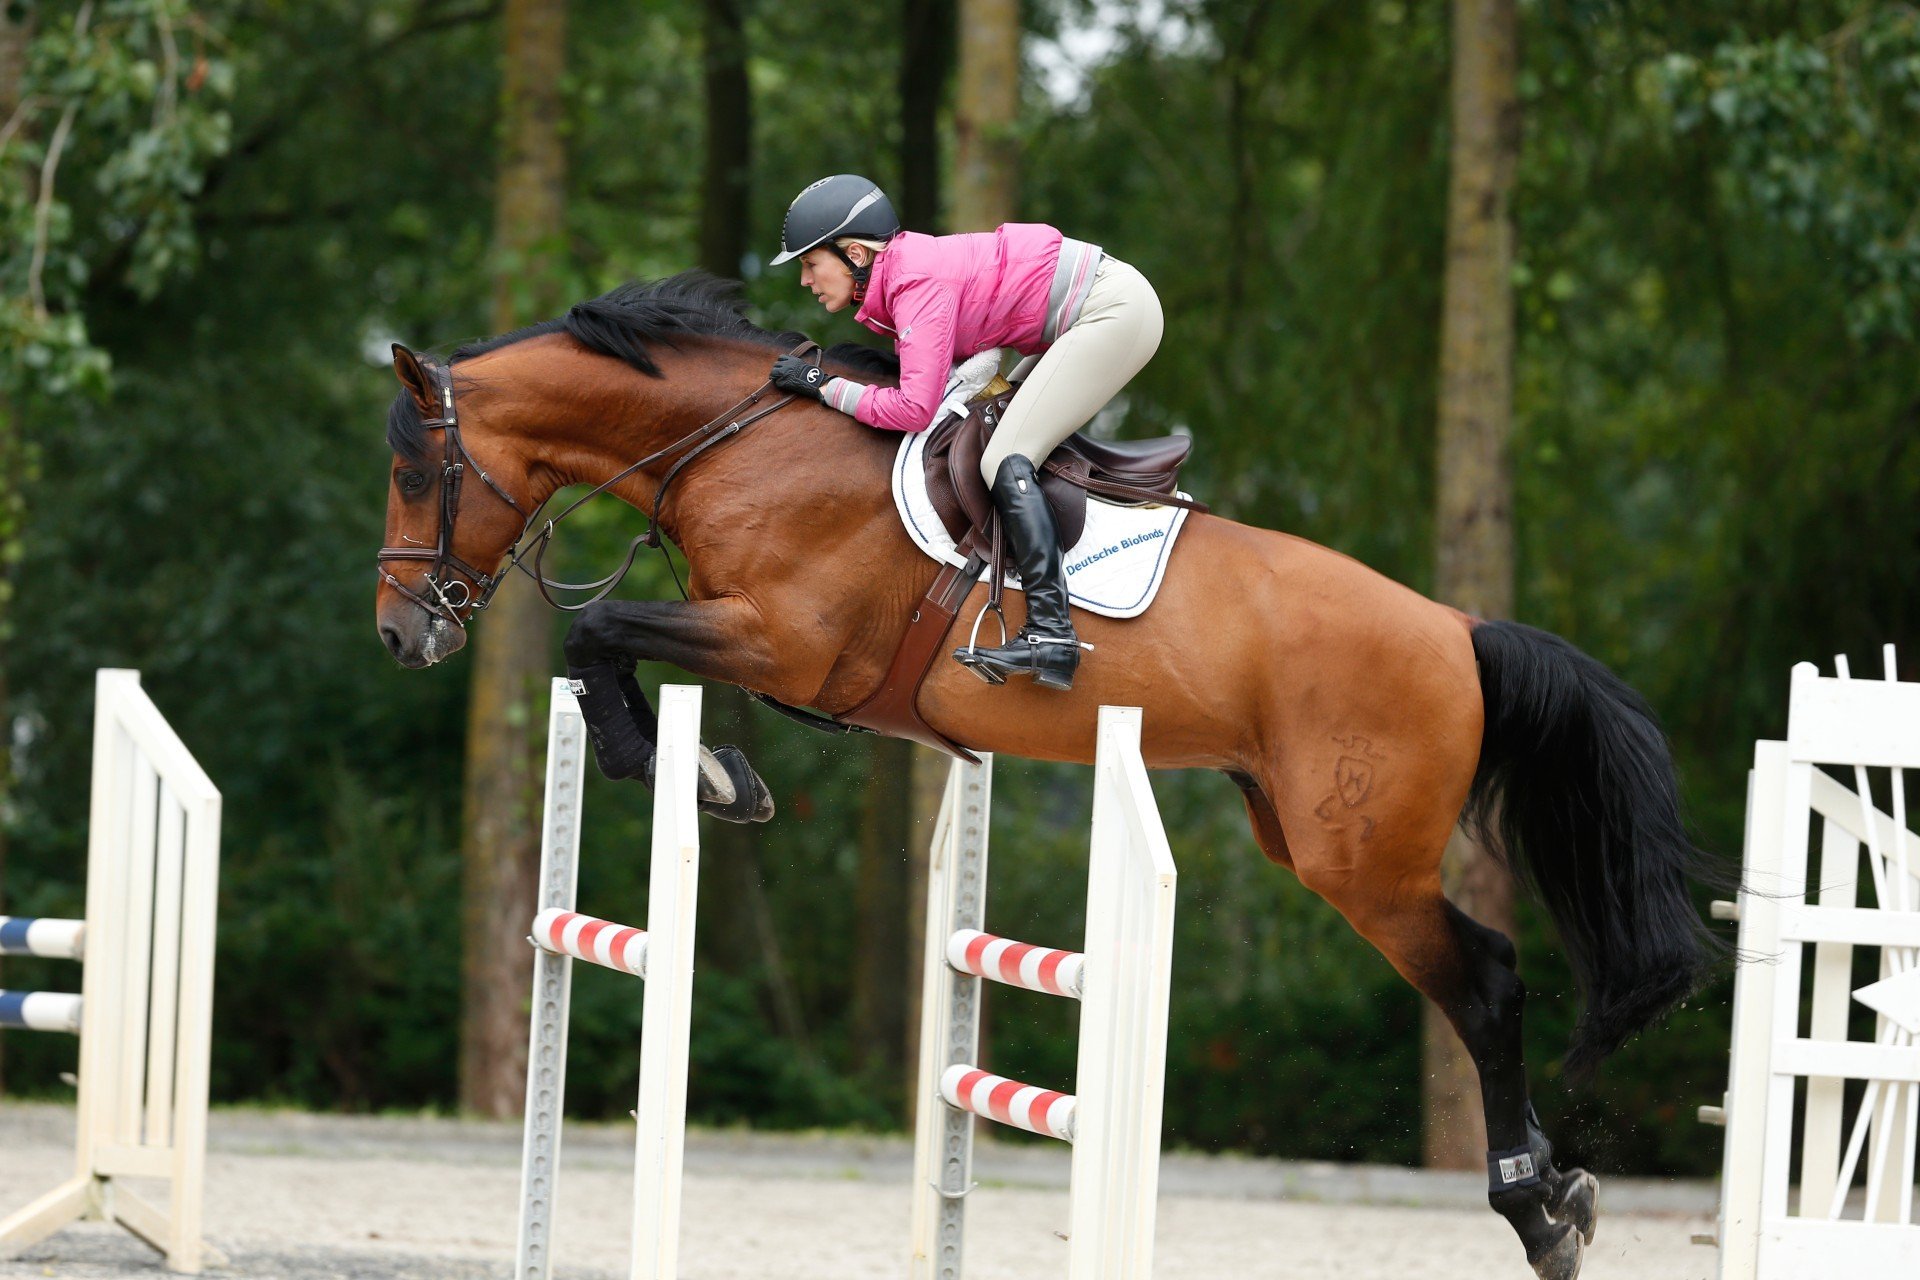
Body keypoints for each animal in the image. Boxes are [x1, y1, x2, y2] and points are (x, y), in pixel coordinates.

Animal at [374, 273, 1716, 1280]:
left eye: (412, 473)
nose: (402, 635)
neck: (741, 442)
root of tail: (1458, 628)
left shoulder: (780, 641)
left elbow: (599, 633)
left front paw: (693, 768)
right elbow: (604, 644)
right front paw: (704, 766)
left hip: (1363, 860)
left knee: (1484, 981)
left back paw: (1538, 1208)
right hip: (1299, 831)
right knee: (1482, 979)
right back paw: (1557, 1190)